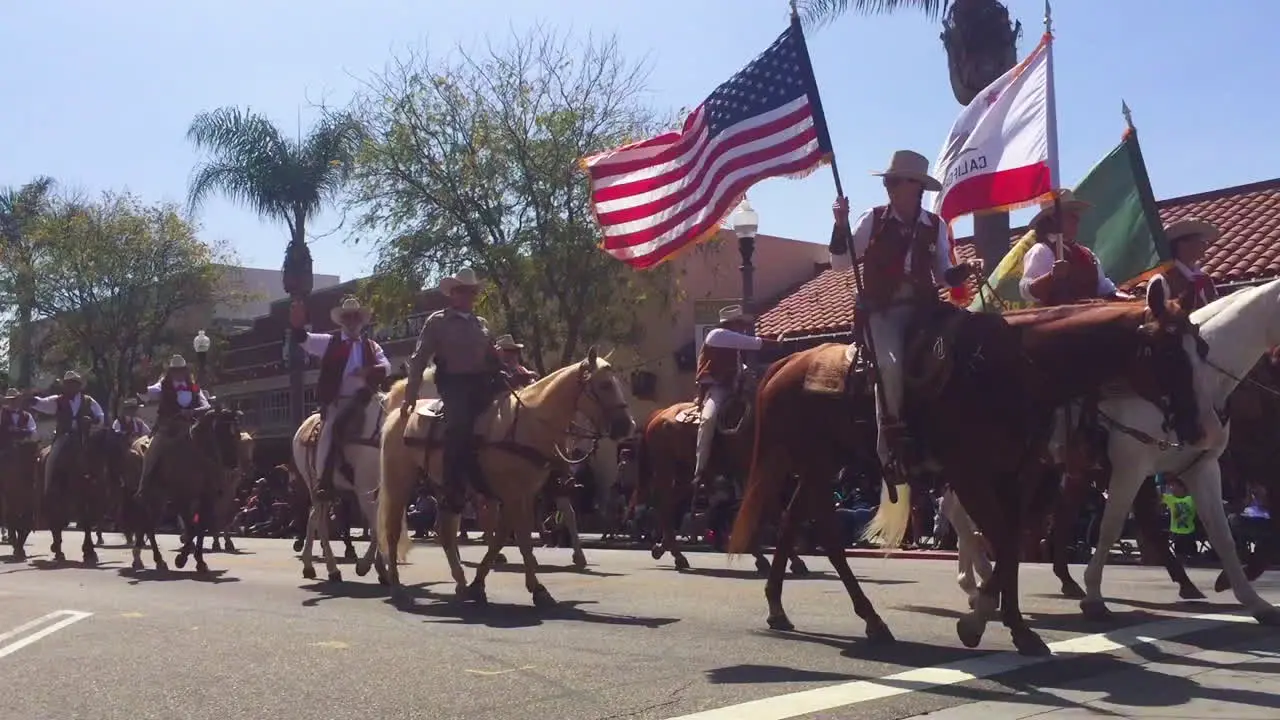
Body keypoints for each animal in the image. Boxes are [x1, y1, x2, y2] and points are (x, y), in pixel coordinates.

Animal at [291, 392, 386, 584]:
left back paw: (309, 565)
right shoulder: (365, 489)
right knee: (320, 521)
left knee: (313, 517)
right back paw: (332, 569)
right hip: (314, 484)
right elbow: (376, 526)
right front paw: (367, 566)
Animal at [373, 345, 634, 602]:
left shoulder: (522, 494)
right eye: (605, 385)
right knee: (392, 530)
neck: (530, 423)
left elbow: (504, 537)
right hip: (399, 483)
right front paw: (538, 589)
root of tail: (398, 413)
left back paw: (460, 581)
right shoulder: (514, 495)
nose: (627, 426)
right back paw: (395, 584)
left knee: (445, 531)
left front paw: (479, 582)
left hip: (446, 488)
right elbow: (522, 538)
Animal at [1080, 275, 1280, 622]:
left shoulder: (1203, 467)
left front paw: (1252, 599)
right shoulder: (1130, 466)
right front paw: (1093, 593)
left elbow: (1222, 535)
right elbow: (1110, 525)